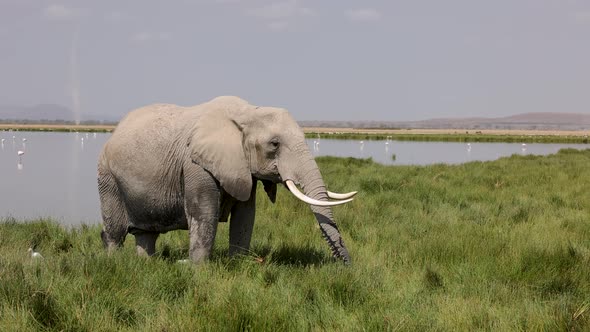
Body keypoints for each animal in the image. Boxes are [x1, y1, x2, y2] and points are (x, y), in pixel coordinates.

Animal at [98, 96, 356, 264]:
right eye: (274, 144)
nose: (346, 266)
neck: (248, 112)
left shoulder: (243, 167)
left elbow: (246, 214)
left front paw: (238, 265)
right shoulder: (195, 163)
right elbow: (204, 212)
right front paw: (197, 269)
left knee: (146, 233)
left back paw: (146, 264)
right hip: (107, 176)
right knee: (115, 233)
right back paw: (115, 264)